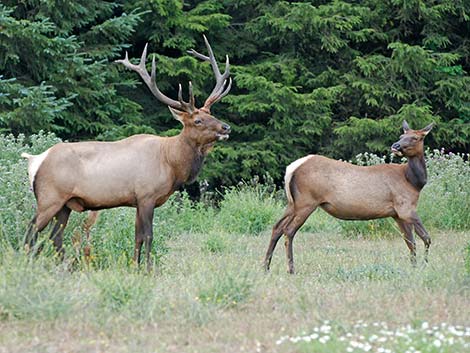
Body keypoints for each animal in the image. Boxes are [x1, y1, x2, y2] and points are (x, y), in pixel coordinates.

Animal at [23, 35, 232, 266]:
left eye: (211, 113)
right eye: (197, 120)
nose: (226, 128)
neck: (171, 163)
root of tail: (35, 160)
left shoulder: (137, 201)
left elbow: (137, 237)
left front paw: (135, 266)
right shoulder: (146, 195)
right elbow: (148, 236)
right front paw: (148, 268)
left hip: (65, 204)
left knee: (55, 236)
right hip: (49, 197)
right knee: (31, 230)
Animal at [266, 120, 436, 272]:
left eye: (415, 137)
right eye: (402, 135)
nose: (396, 146)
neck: (413, 182)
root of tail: (291, 169)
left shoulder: (397, 214)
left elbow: (410, 242)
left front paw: (414, 266)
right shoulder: (405, 207)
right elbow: (426, 237)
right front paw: (425, 265)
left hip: (292, 203)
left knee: (277, 227)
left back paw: (266, 266)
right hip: (306, 201)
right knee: (289, 231)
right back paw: (290, 268)